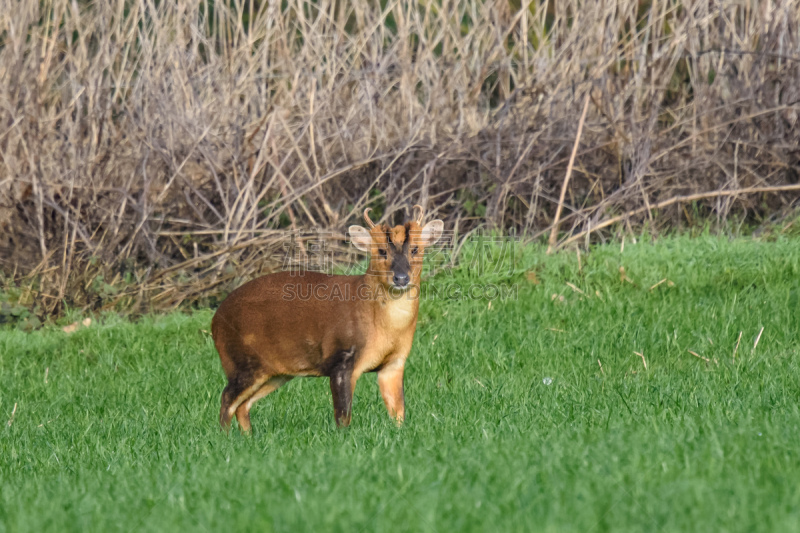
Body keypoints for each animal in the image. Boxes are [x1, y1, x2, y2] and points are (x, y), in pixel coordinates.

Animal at [211, 206, 444, 430]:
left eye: (415, 249)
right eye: (381, 251)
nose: (401, 278)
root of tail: (215, 321)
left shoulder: (395, 363)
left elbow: (398, 412)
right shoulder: (341, 358)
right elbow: (343, 416)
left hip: (274, 371)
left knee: (243, 406)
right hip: (242, 360)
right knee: (227, 399)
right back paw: (225, 437)